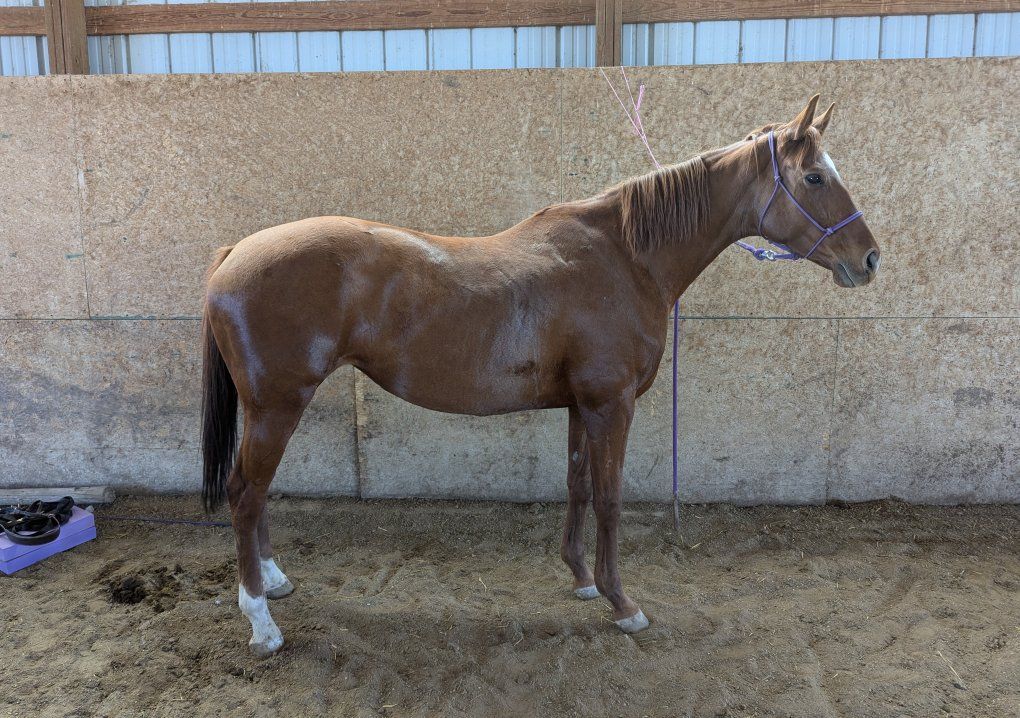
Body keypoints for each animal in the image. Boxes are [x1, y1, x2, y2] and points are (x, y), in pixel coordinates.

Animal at [201, 95, 880, 657]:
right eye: (815, 177)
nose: (869, 258)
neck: (626, 257)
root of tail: (234, 254)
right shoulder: (612, 404)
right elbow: (609, 498)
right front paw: (623, 604)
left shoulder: (581, 405)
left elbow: (577, 486)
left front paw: (581, 580)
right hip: (277, 406)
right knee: (245, 493)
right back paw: (262, 623)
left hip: (272, 409)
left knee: (256, 494)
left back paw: (275, 583)